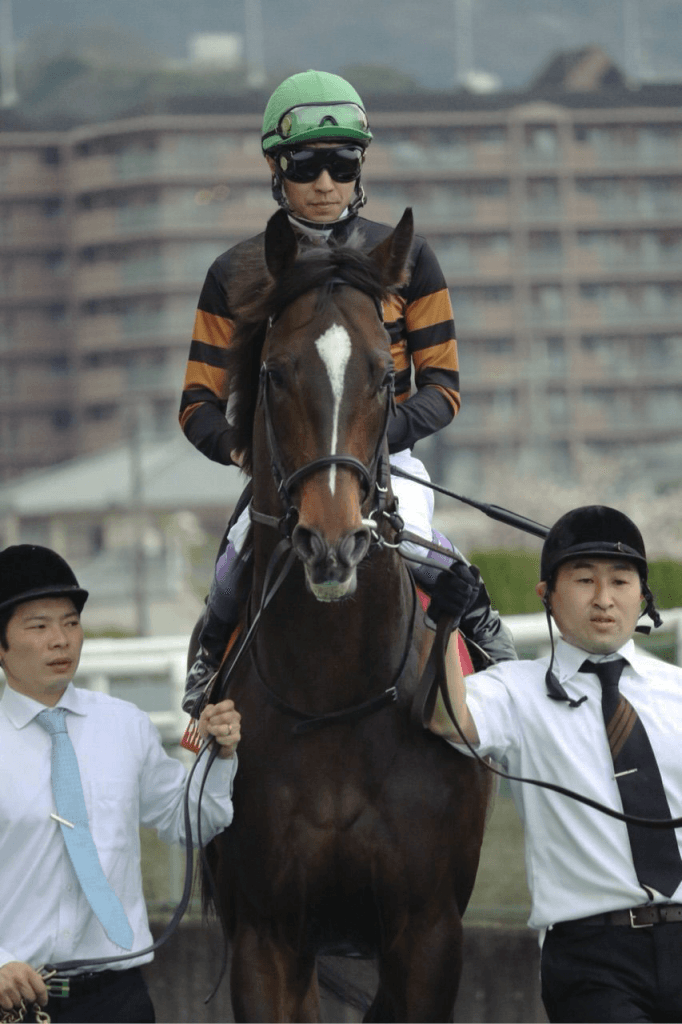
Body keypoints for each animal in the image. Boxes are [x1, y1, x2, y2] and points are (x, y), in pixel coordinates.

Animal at [201, 207, 493, 1022]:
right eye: (274, 372)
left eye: (385, 374)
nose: (331, 542)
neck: (333, 697)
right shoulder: (266, 934)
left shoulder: (427, 930)